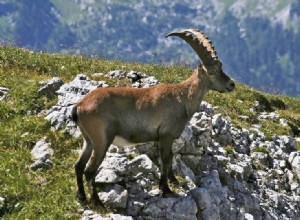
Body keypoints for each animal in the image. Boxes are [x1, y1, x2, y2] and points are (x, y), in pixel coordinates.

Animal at [71, 29, 236, 205]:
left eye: (221, 67)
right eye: (212, 72)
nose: (231, 84)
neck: (182, 97)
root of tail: (79, 106)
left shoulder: (162, 138)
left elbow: (169, 158)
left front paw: (173, 181)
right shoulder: (166, 136)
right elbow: (166, 159)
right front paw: (166, 189)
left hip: (89, 140)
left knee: (78, 166)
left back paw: (82, 197)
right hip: (102, 140)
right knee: (89, 170)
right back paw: (97, 201)